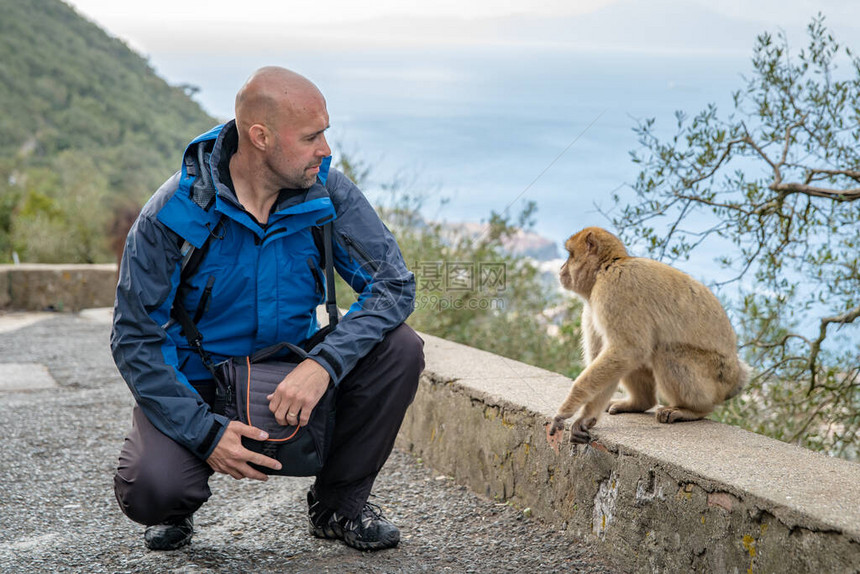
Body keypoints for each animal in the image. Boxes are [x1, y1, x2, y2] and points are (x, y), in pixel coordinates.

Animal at [548, 227, 748, 444]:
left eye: (570, 255)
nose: (561, 268)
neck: (605, 268)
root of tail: (737, 376)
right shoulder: (592, 308)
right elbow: (613, 355)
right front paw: (586, 417)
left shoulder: (615, 291)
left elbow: (627, 349)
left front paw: (568, 407)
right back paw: (639, 402)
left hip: (716, 375)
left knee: (665, 350)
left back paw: (692, 410)